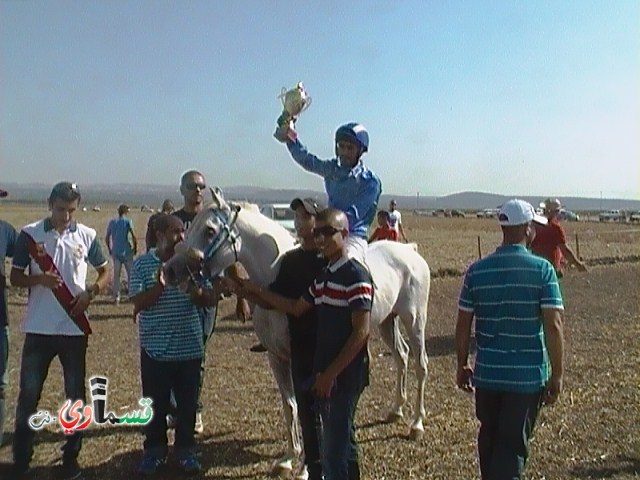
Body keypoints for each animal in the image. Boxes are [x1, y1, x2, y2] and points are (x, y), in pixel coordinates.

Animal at [165, 189, 432, 478]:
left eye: (210, 230)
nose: (170, 270)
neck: (278, 276)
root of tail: (411, 251)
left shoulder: (303, 362)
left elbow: (308, 411)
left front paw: (305, 467)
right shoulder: (277, 358)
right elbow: (290, 406)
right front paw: (288, 458)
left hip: (415, 320)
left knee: (420, 364)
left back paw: (416, 424)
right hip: (387, 322)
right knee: (401, 356)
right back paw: (396, 410)